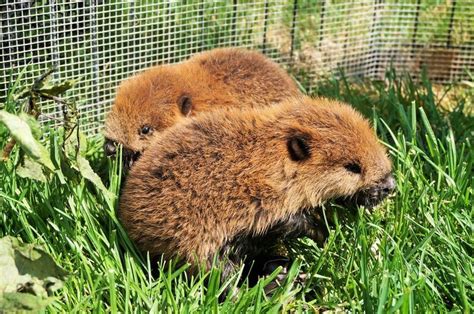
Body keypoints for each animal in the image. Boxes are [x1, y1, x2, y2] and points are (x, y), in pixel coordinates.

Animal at [118, 96, 396, 280]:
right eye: (353, 167)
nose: (389, 186)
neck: (268, 159)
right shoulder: (262, 203)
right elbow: (290, 222)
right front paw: (325, 234)